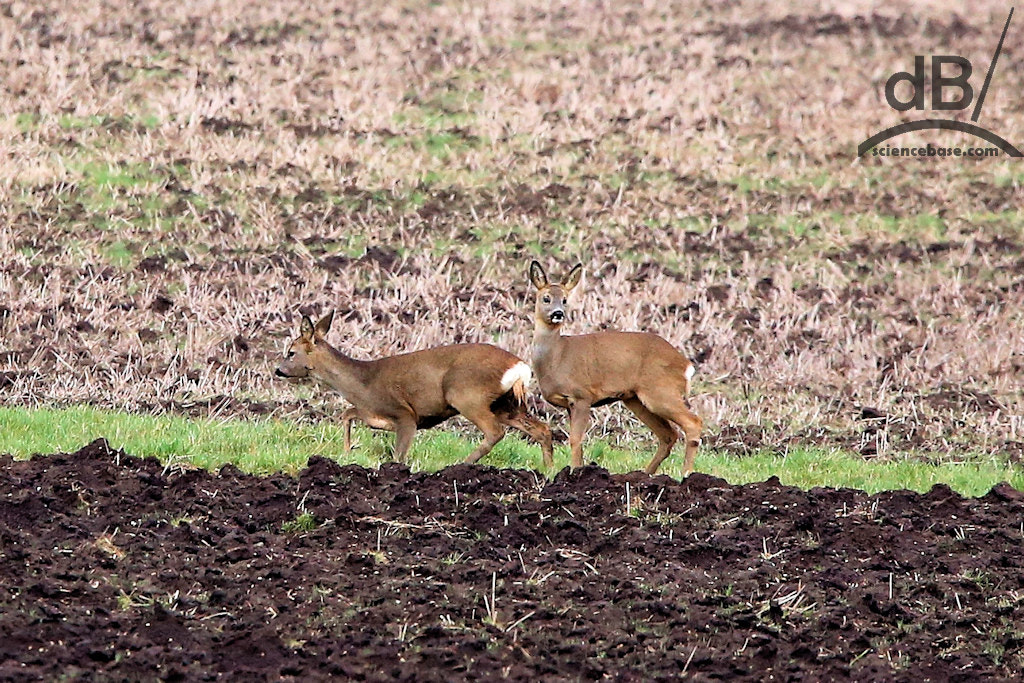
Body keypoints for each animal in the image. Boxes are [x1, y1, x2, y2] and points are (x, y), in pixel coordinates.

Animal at [275, 311, 553, 467]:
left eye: (291, 352)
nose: (278, 370)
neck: (362, 383)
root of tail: (519, 367)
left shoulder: (405, 414)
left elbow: (399, 454)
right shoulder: (372, 414)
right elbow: (347, 414)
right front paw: (346, 451)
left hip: (466, 394)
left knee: (495, 432)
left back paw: (462, 465)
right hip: (506, 404)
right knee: (542, 429)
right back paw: (548, 471)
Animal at [528, 261, 703, 475]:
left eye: (565, 299)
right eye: (546, 298)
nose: (558, 313)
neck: (557, 357)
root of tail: (686, 365)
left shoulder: (582, 395)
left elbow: (575, 439)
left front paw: (575, 473)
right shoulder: (570, 403)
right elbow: (577, 441)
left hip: (660, 391)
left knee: (693, 423)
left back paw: (685, 474)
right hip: (635, 399)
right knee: (668, 434)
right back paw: (645, 474)